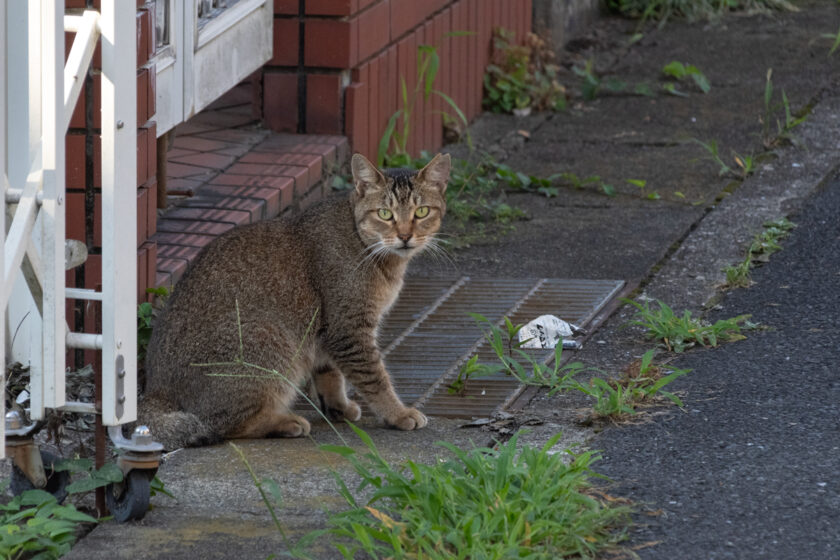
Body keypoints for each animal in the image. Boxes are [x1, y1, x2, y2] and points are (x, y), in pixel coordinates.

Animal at [141, 151, 450, 448]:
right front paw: (398, 413)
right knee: (222, 424)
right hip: (270, 340)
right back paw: (284, 422)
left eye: (421, 212)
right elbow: (375, 379)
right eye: (385, 214)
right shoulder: (349, 329)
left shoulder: (327, 330)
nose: (405, 236)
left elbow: (329, 373)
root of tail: (154, 390)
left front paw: (338, 407)